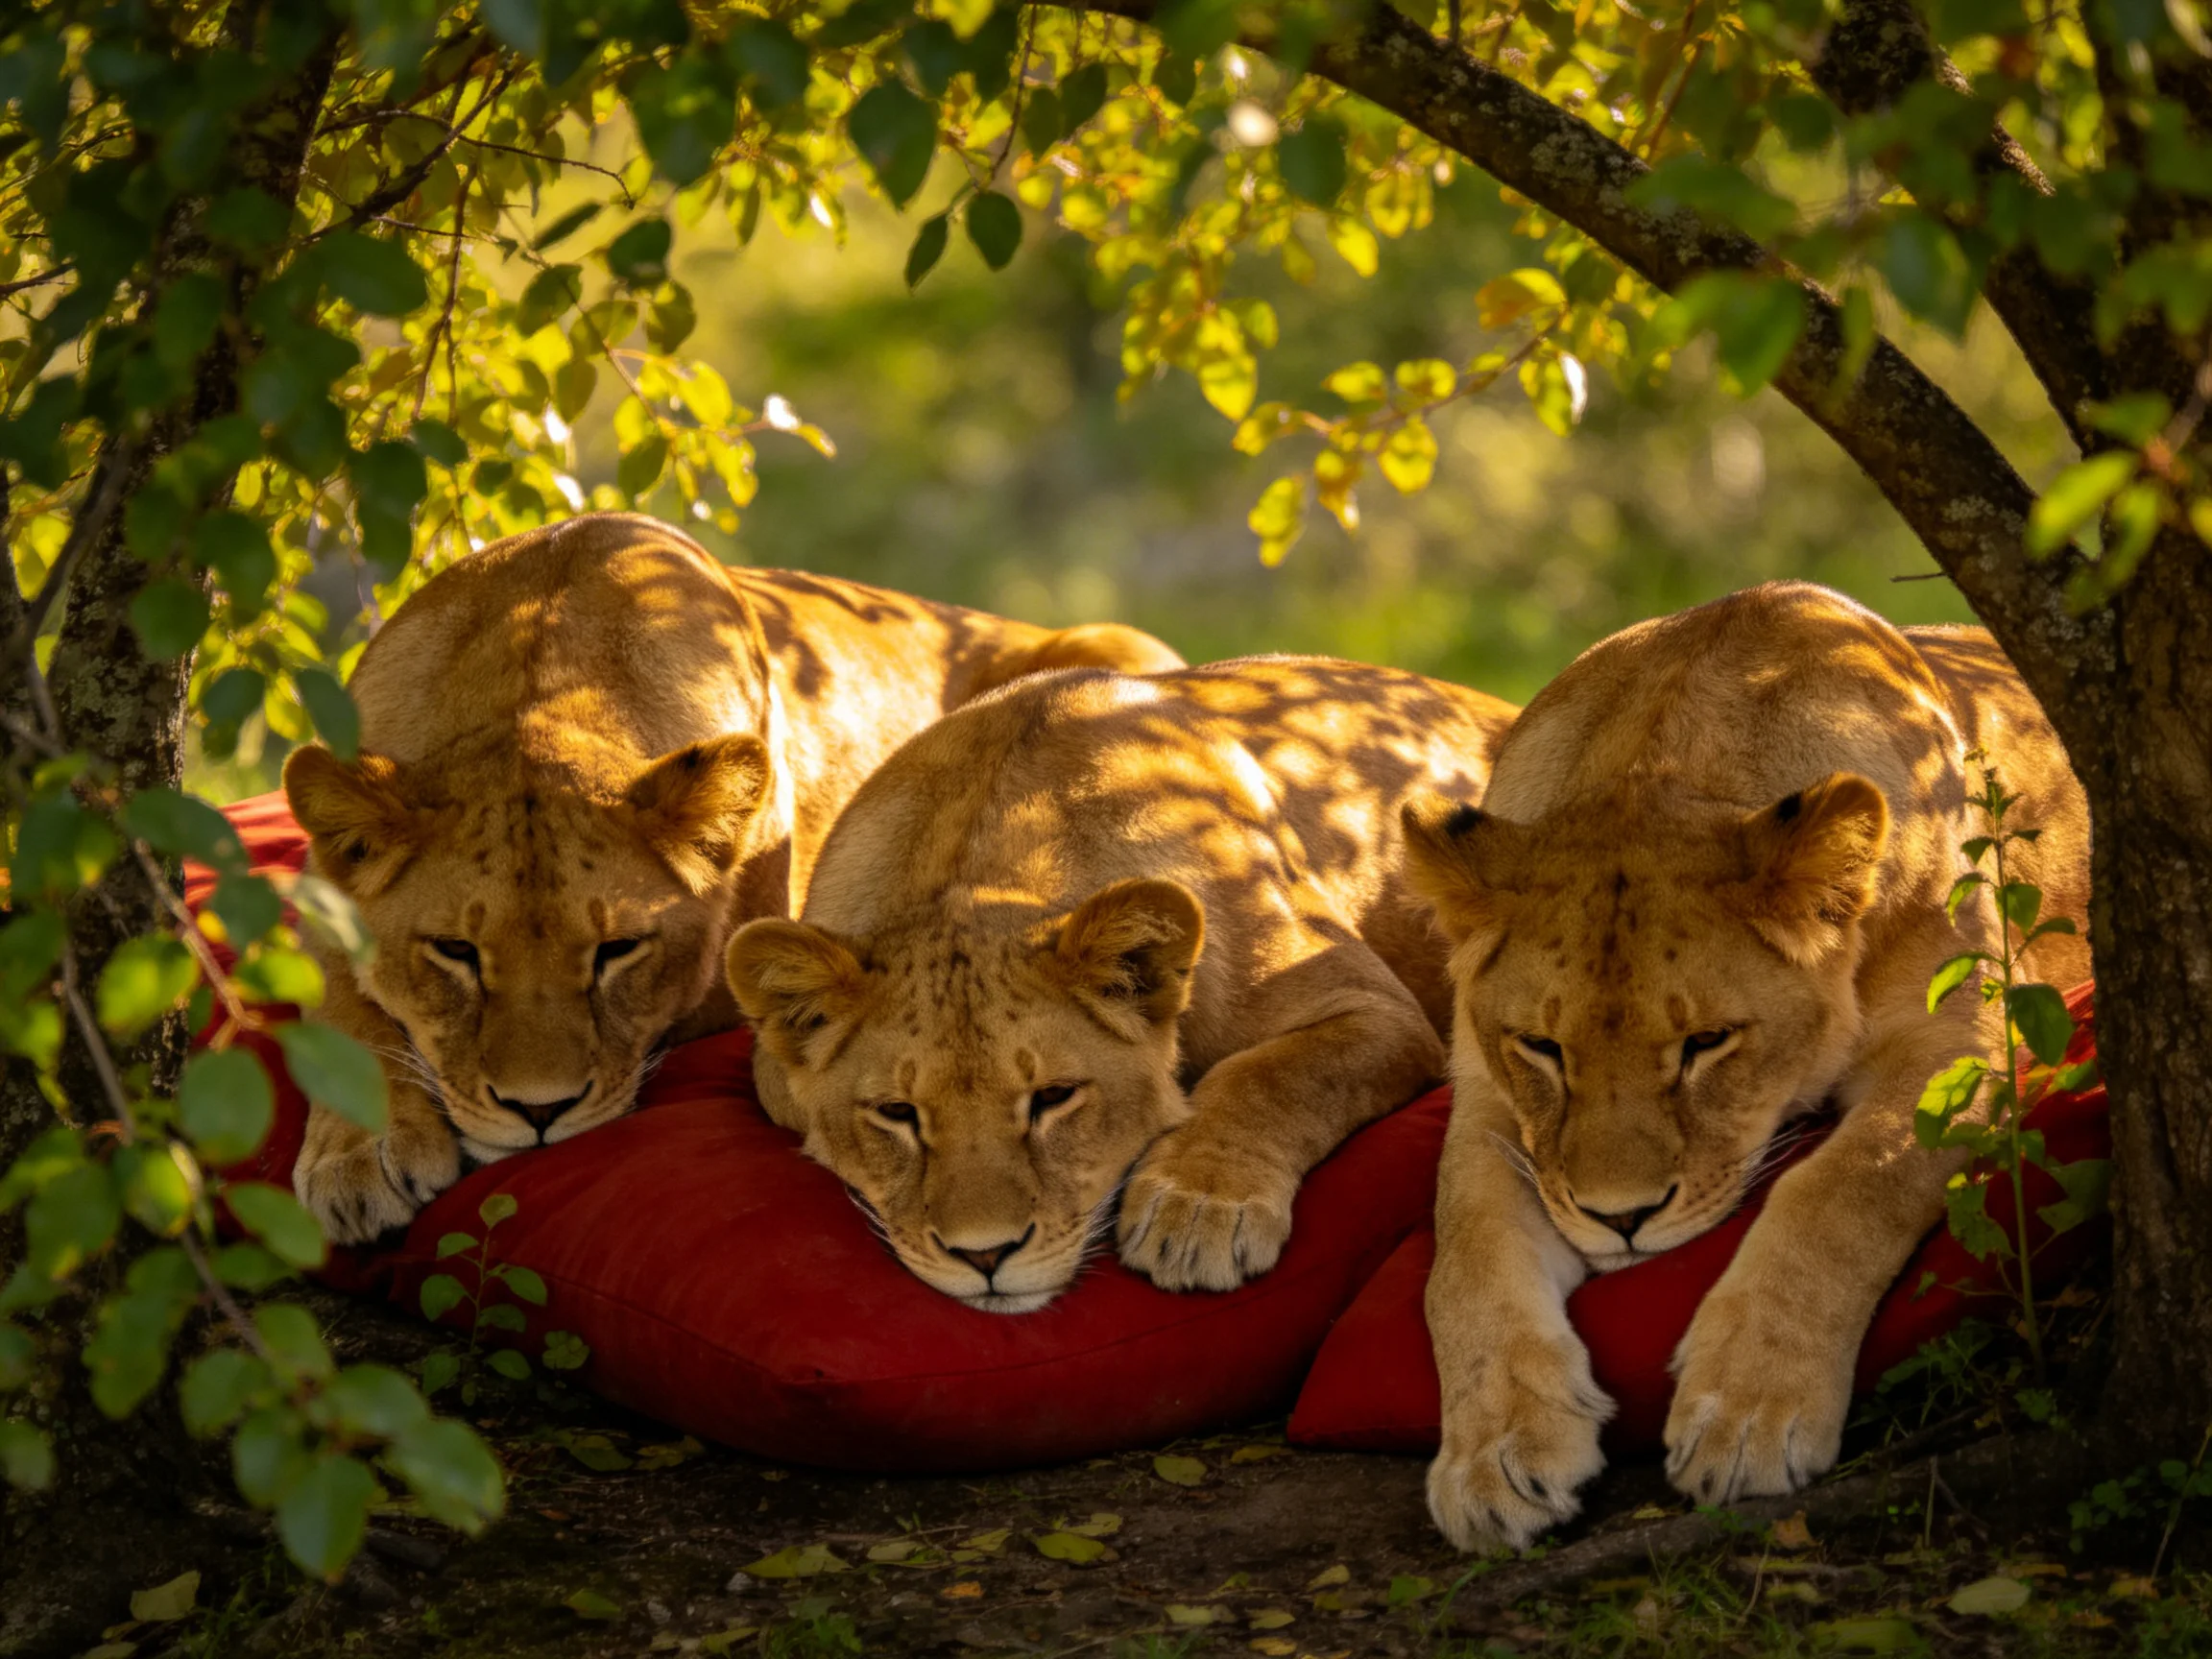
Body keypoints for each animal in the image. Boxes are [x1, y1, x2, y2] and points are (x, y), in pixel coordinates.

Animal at [281, 513, 1182, 1244]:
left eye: (618, 950)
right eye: (455, 951)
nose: (539, 1112)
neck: (537, 685)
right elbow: (341, 1007)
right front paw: (360, 1154)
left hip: (1119, 643)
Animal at [722, 657, 1518, 1311]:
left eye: (1053, 1098)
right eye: (897, 1113)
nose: (985, 1255)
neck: (987, 869)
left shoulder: (1379, 1008)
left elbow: (1271, 1075)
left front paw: (1198, 1208)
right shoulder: (771, 1060)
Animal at [1400, 582, 2090, 1552]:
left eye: (1708, 1043)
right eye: (1543, 1048)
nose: (1620, 1220)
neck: (1664, 758)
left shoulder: (1966, 1041)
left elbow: (1843, 1188)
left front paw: (1749, 1412)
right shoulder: (1489, 1105)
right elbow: (1462, 1255)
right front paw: (1496, 1453)